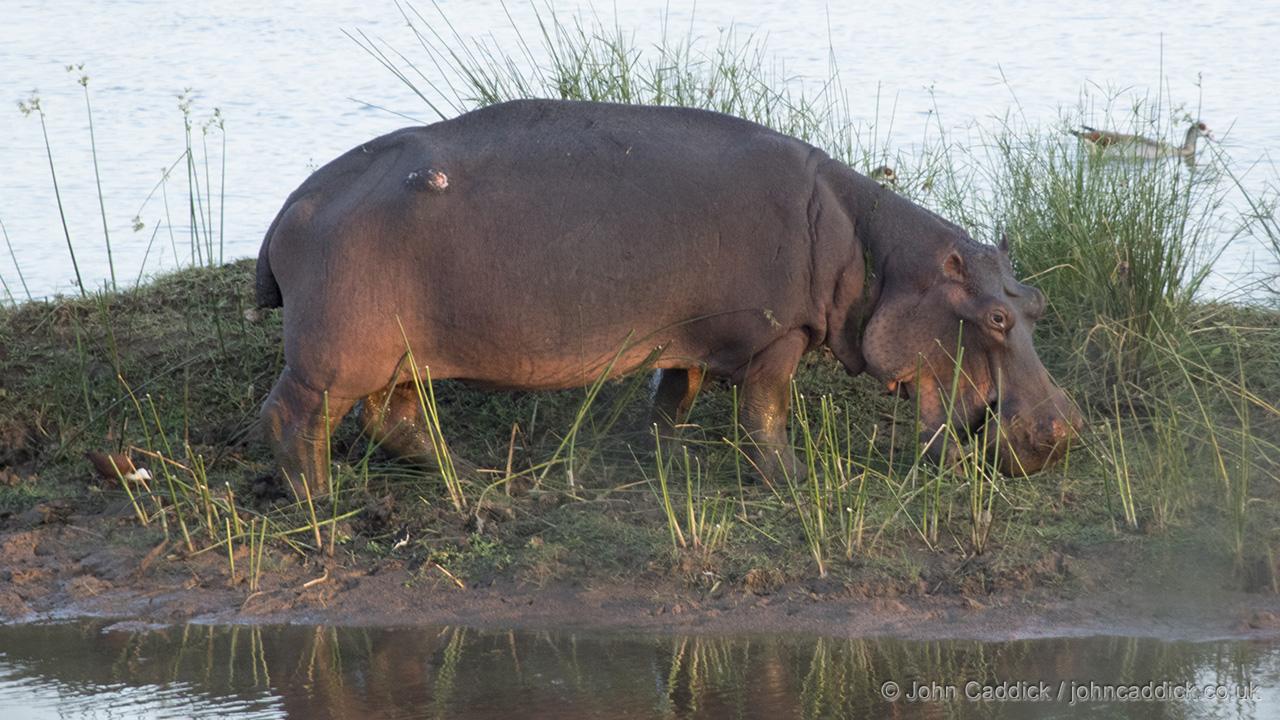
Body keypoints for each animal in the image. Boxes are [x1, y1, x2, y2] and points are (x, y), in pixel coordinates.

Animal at [255, 99, 1082, 493]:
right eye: (995, 317)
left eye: (1037, 305)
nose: (1065, 429)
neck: (883, 258)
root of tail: (292, 203)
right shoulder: (774, 338)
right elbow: (764, 414)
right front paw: (793, 481)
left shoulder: (690, 335)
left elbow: (672, 394)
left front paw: (660, 455)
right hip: (334, 358)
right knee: (294, 417)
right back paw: (321, 503)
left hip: (399, 351)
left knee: (393, 418)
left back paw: (471, 477)